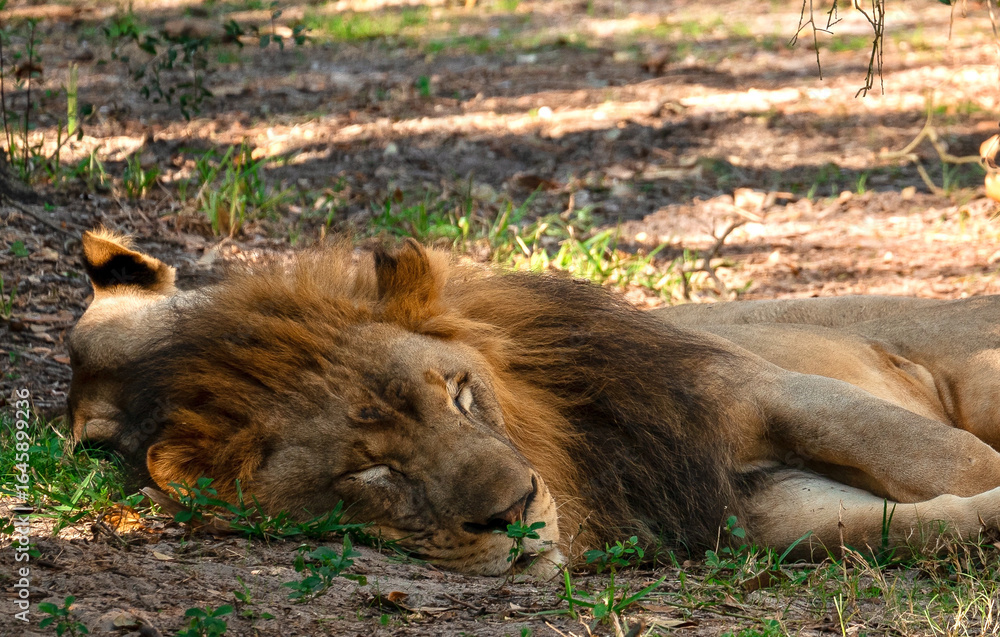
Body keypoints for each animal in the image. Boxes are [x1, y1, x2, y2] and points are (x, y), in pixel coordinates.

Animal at [68, 230, 1000, 576]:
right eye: (371, 474)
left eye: (458, 391)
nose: (515, 507)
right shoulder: (750, 509)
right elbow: (913, 523)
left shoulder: (759, 393)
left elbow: (954, 458)